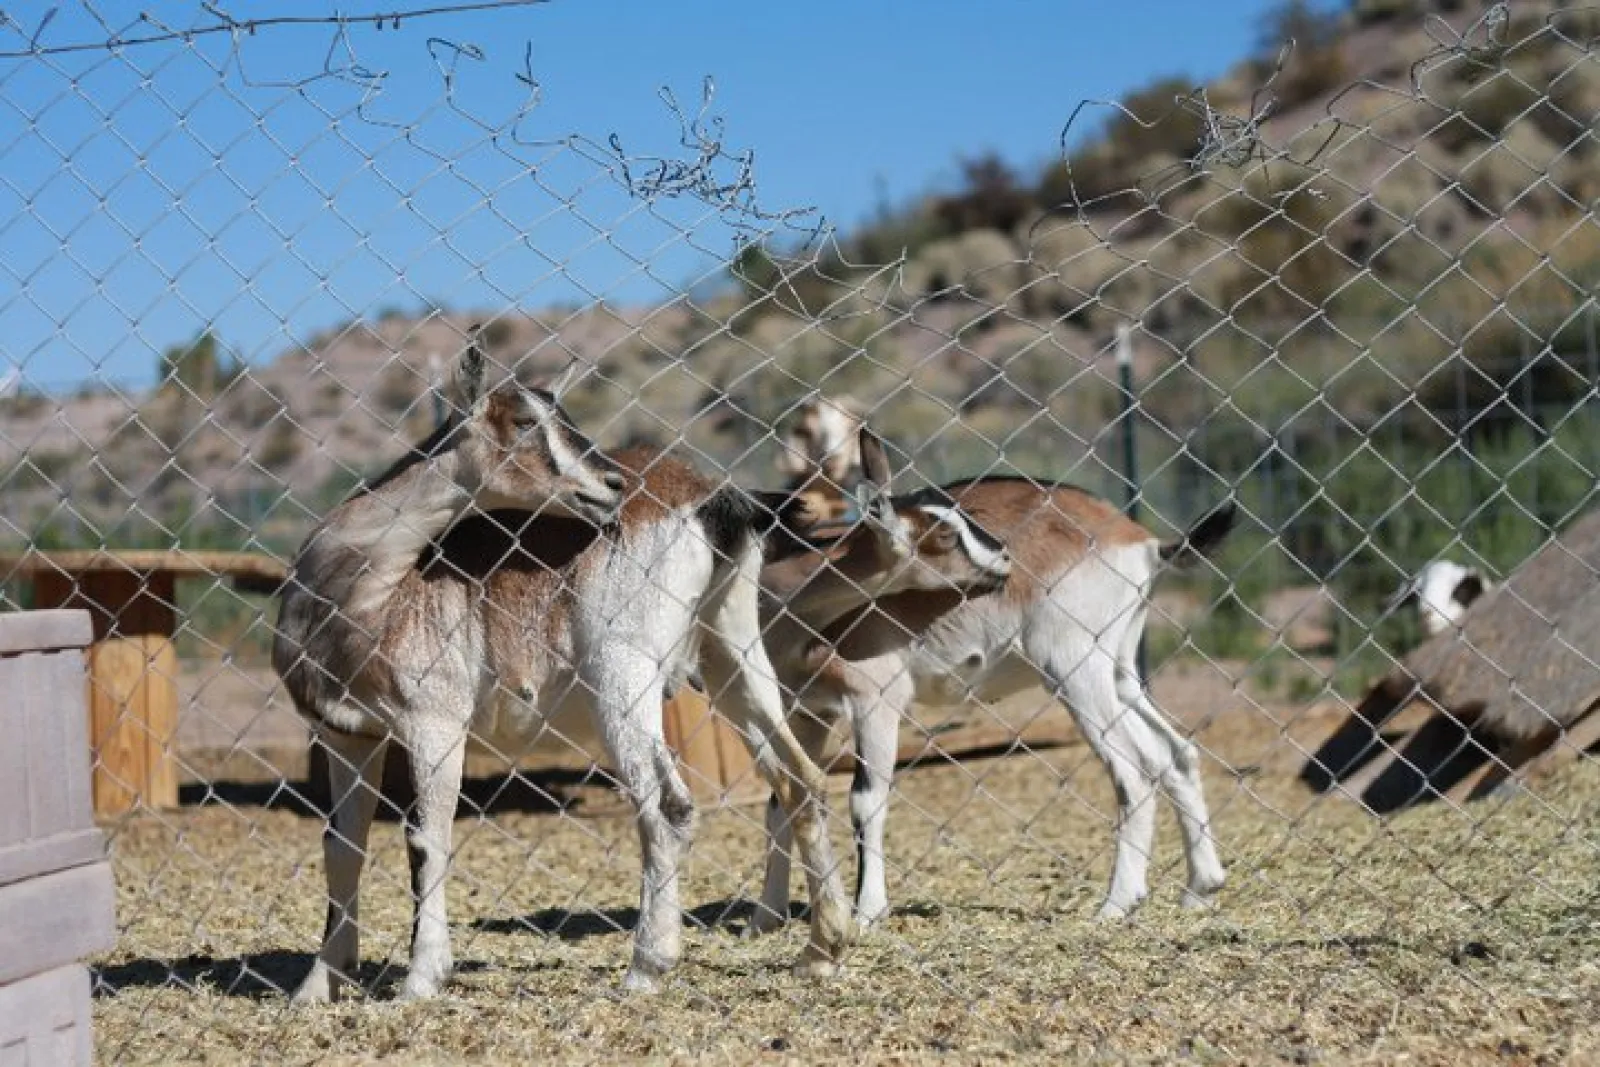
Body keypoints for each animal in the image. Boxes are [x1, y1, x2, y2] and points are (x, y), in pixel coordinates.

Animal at [751, 398, 1235, 931]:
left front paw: (867, 912)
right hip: (1119, 675)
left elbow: (865, 799)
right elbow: (783, 800)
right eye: (944, 532)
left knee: (1132, 772)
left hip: (1074, 673)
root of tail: (1140, 540)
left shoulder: (875, 702)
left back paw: (1116, 903)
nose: (1003, 557)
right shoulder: (808, 714)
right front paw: (766, 917)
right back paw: (1200, 887)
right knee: (1175, 754)